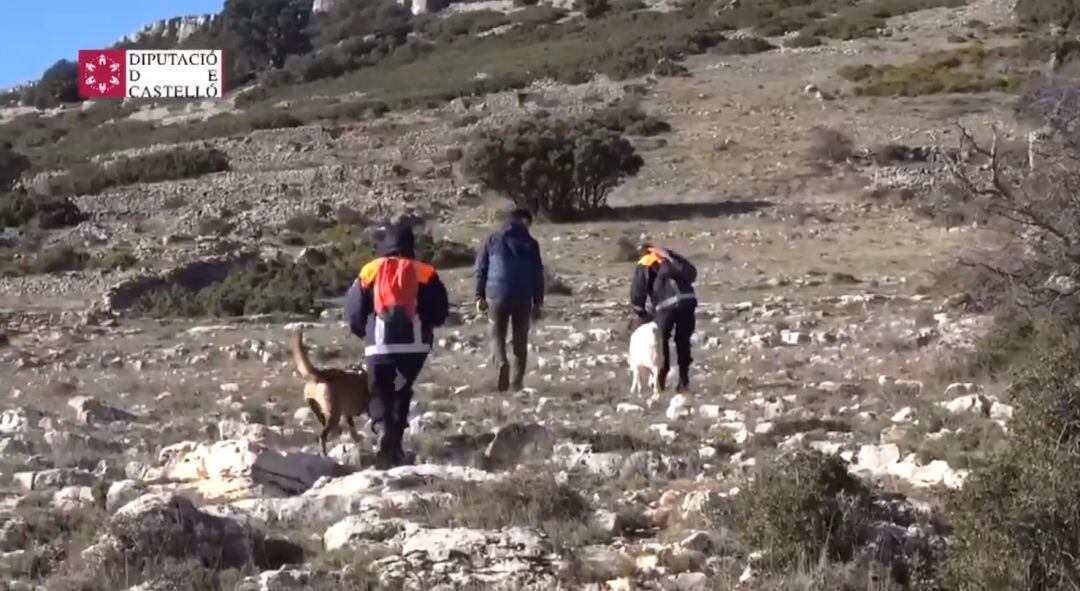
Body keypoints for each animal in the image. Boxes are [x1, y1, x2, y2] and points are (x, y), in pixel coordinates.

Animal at [289, 326, 373, 455]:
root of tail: (320, 374)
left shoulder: (348, 415)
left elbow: (353, 431)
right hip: (334, 414)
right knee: (323, 435)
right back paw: (324, 453)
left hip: (316, 408)